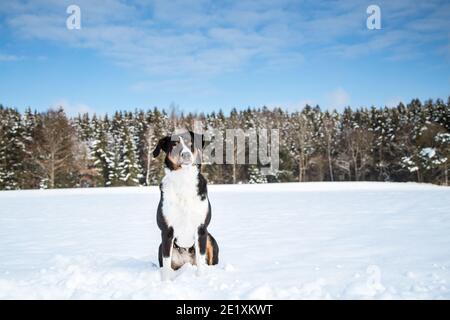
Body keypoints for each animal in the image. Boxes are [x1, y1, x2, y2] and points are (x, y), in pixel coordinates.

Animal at [153, 129, 220, 278]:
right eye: (174, 144)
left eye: (190, 143)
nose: (186, 154)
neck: (183, 179)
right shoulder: (167, 231)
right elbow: (166, 264)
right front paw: (166, 282)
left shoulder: (201, 229)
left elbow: (201, 261)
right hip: (160, 246)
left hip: (210, 239)